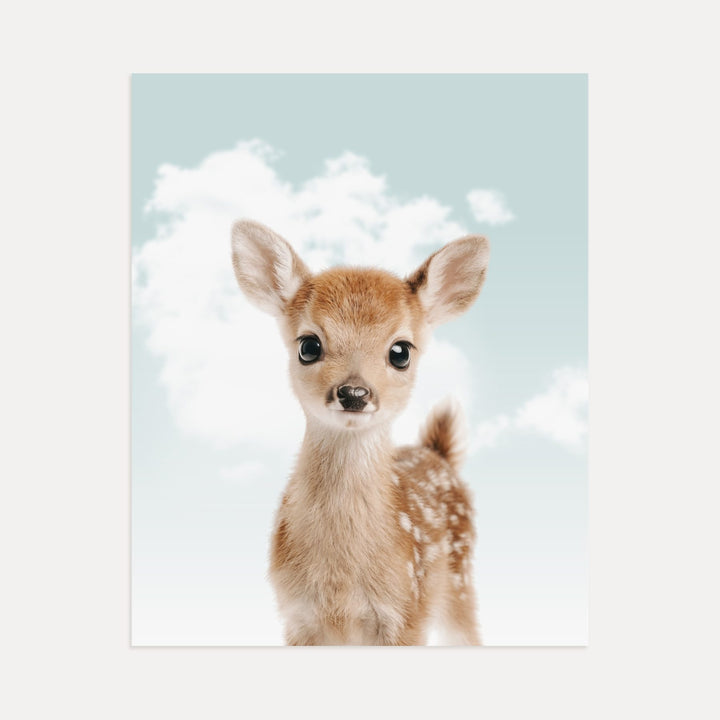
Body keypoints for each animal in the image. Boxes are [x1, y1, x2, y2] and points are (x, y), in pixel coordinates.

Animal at [231, 219, 490, 645]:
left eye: (401, 352)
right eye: (309, 345)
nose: (354, 393)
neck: (341, 584)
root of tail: (438, 453)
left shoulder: (407, 613)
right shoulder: (296, 616)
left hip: (459, 580)